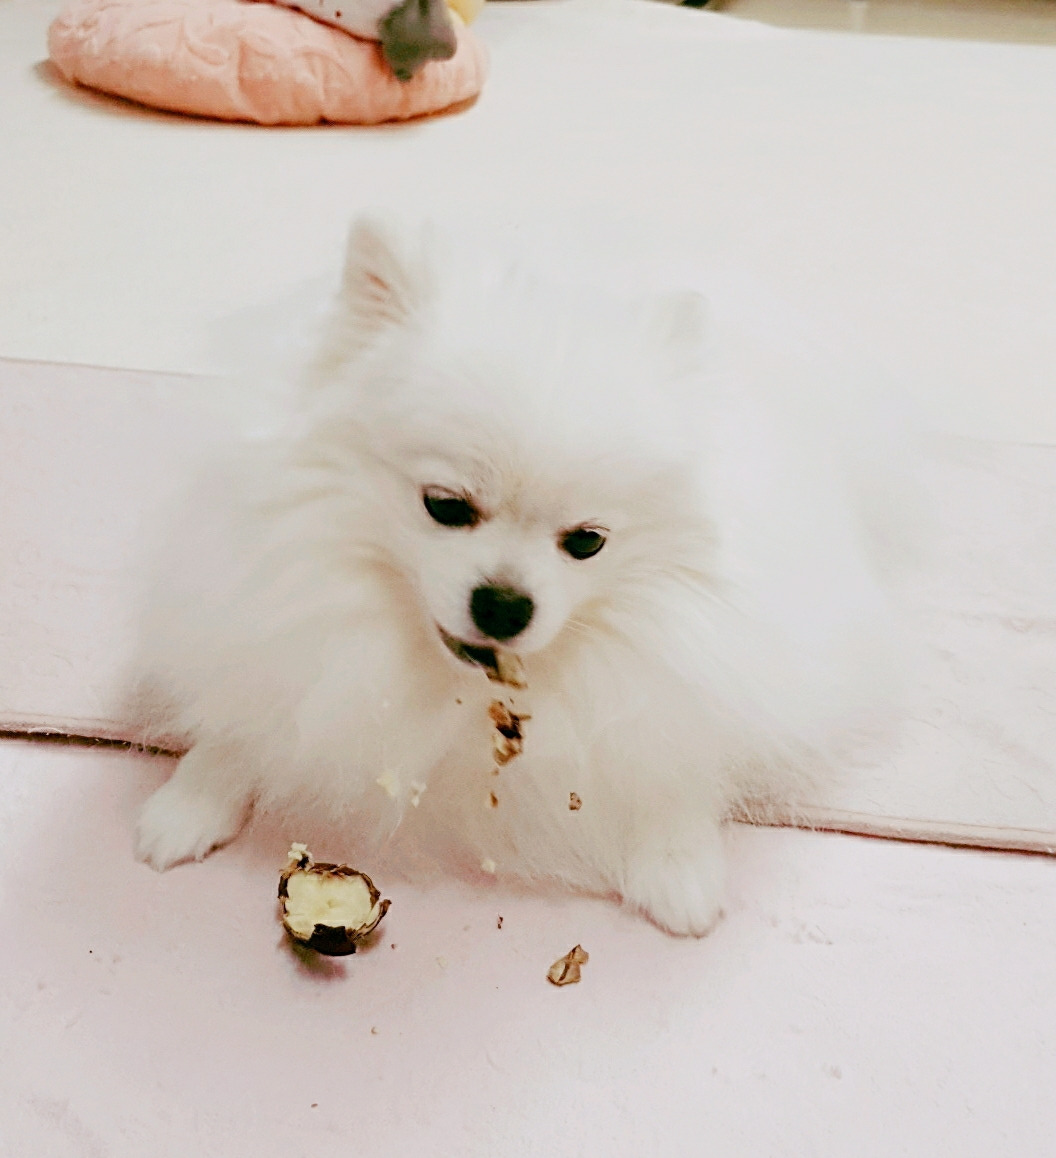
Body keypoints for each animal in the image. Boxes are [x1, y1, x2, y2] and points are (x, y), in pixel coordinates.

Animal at [134, 213, 912, 936]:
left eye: (588, 542)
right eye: (445, 506)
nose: (504, 604)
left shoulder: (698, 665)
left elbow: (672, 756)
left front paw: (677, 866)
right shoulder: (260, 610)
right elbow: (249, 716)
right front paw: (189, 802)